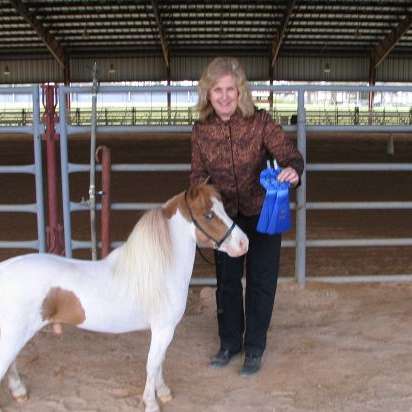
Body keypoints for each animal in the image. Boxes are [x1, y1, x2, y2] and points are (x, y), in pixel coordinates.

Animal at [0, 184, 248, 412]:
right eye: (208, 215)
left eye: (223, 208)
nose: (244, 243)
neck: (162, 269)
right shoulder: (163, 329)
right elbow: (152, 364)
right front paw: (151, 403)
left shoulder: (164, 331)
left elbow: (159, 362)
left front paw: (163, 393)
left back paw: (20, 392)